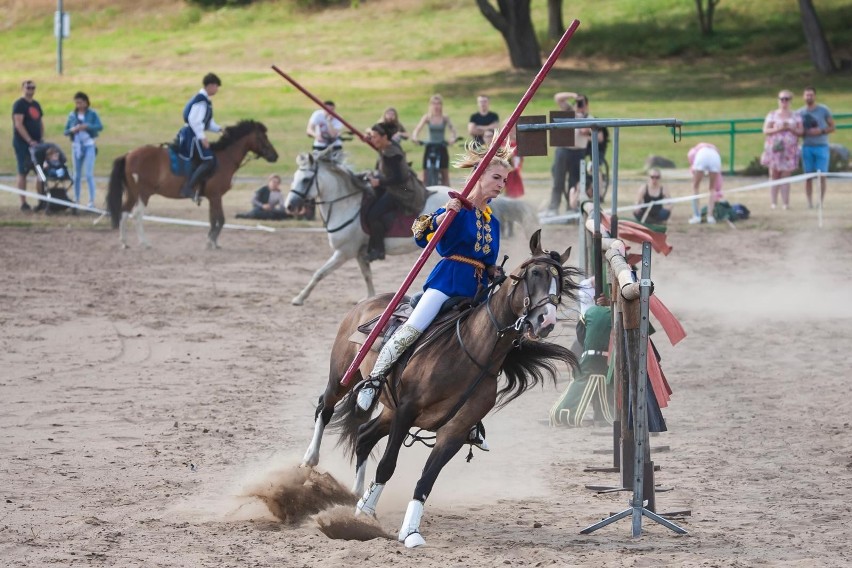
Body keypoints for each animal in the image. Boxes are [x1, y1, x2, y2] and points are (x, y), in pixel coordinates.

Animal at [106, 120, 278, 248]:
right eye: (263, 138)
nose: (275, 156)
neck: (224, 158)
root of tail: (128, 155)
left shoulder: (212, 197)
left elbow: (213, 219)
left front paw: (213, 242)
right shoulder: (216, 196)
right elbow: (221, 219)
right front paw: (211, 242)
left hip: (133, 193)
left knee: (124, 212)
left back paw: (124, 242)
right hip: (143, 193)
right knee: (137, 215)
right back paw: (144, 242)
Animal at [298, 230, 580, 544]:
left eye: (561, 282)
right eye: (535, 273)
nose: (547, 320)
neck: (471, 349)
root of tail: (365, 303)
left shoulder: (455, 430)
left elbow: (426, 480)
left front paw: (409, 532)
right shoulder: (407, 411)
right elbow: (387, 465)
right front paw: (367, 513)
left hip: (388, 410)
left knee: (364, 435)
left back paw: (357, 495)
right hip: (342, 377)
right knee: (325, 407)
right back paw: (311, 461)